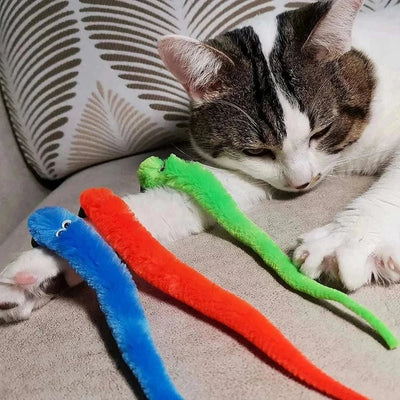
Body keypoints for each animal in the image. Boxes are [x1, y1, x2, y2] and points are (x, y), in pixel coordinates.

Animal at [0, 0, 400, 322]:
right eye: (257, 151)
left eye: (323, 130)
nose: (303, 183)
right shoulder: (240, 171)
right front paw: (52, 261)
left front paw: (350, 236)